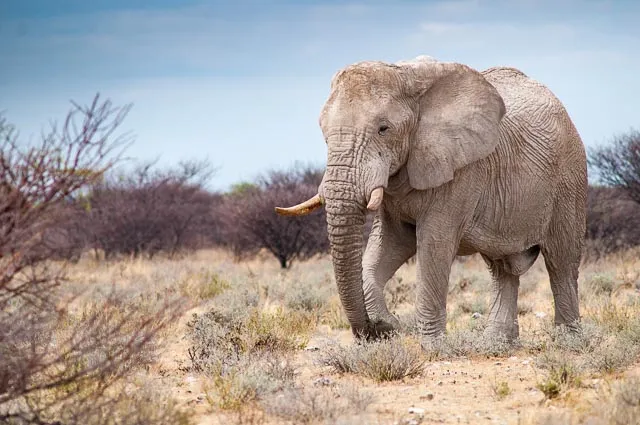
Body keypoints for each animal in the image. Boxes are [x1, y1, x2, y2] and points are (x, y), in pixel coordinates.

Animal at [276, 56, 584, 342]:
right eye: (323, 132)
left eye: (383, 129)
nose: (375, 331)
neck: (406, 78)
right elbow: (388, 243)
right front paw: (387, 323)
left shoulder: (461, 169)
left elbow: (434, 244)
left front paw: (430, 345)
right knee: (502, 269)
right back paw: (495, 342)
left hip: (569, 181)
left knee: (561, 263)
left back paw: (568, 339)